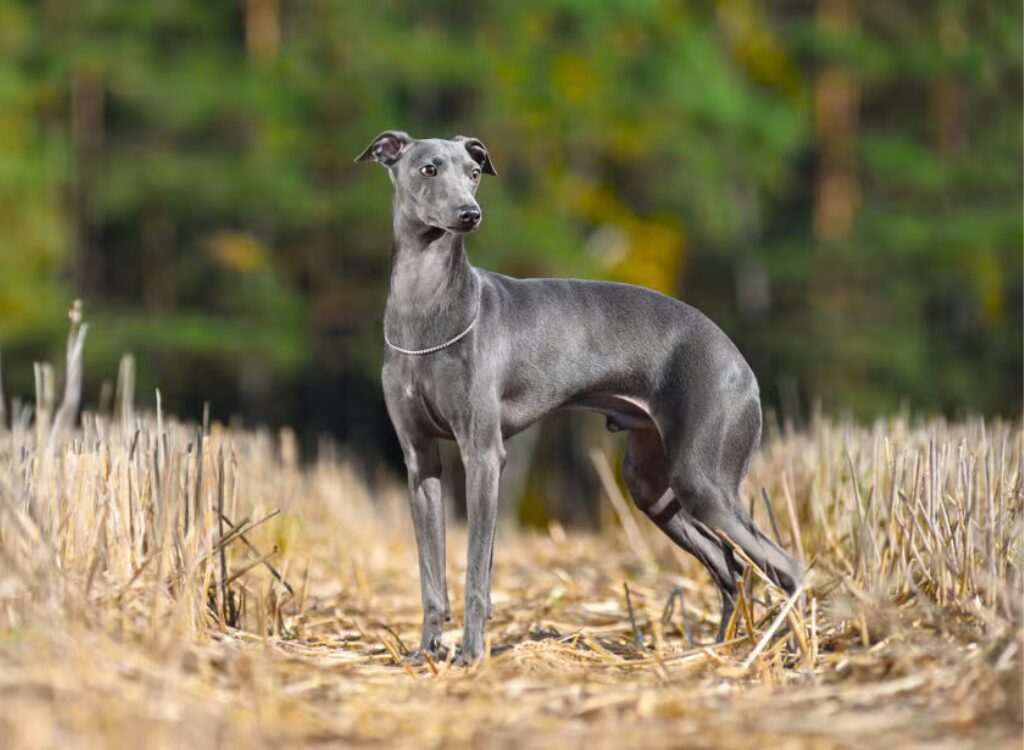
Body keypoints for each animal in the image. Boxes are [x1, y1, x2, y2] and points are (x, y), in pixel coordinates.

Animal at [356, 130, 802, 668]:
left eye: (474, 172)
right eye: (428, 169)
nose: (470, 214)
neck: (426, 311)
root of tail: (740, 362)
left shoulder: (483, 455)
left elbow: (477, 572)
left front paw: (471, 655)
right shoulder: (420, 461)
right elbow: (430, 577)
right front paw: (425, 653)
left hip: (703, 481)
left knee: (787, 565)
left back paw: (797, 653)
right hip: (653, 487)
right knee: (729, 565)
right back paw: (717, 653)